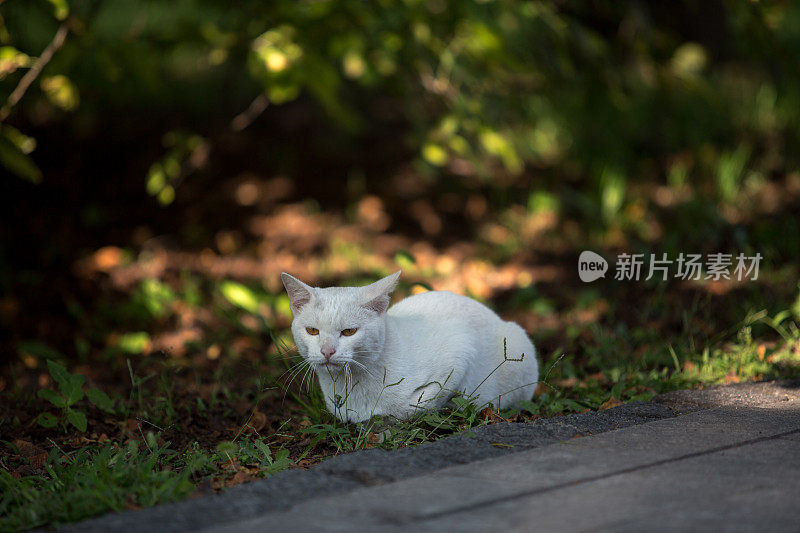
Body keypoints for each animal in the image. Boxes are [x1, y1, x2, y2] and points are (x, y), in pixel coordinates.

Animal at [282, 272, 536, 422]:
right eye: (312, 331)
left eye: (349, 332)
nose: (327, 351)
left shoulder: (461, 348)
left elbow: (417, 404)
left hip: (515, 343)